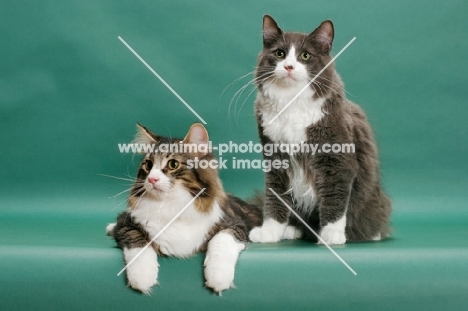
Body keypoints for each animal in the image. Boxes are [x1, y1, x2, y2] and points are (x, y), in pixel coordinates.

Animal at [105, 122, 264, 294]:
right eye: (148, 165)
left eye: (173, 164)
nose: (152, 179)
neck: (172, 205)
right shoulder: (126, 223)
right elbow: (138, 243)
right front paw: (142, 277)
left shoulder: (236, 224)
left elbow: (221, 241)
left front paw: (218, 278)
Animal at [249, 15, 392, 246]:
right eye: (280, 54)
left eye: (305, 55)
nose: (289, 67)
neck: (291, 102)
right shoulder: (275, 159)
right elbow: (275, 198)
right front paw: (270, 231)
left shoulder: (336, 160)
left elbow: (334, 199)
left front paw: (331, 234)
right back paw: (293, 229)